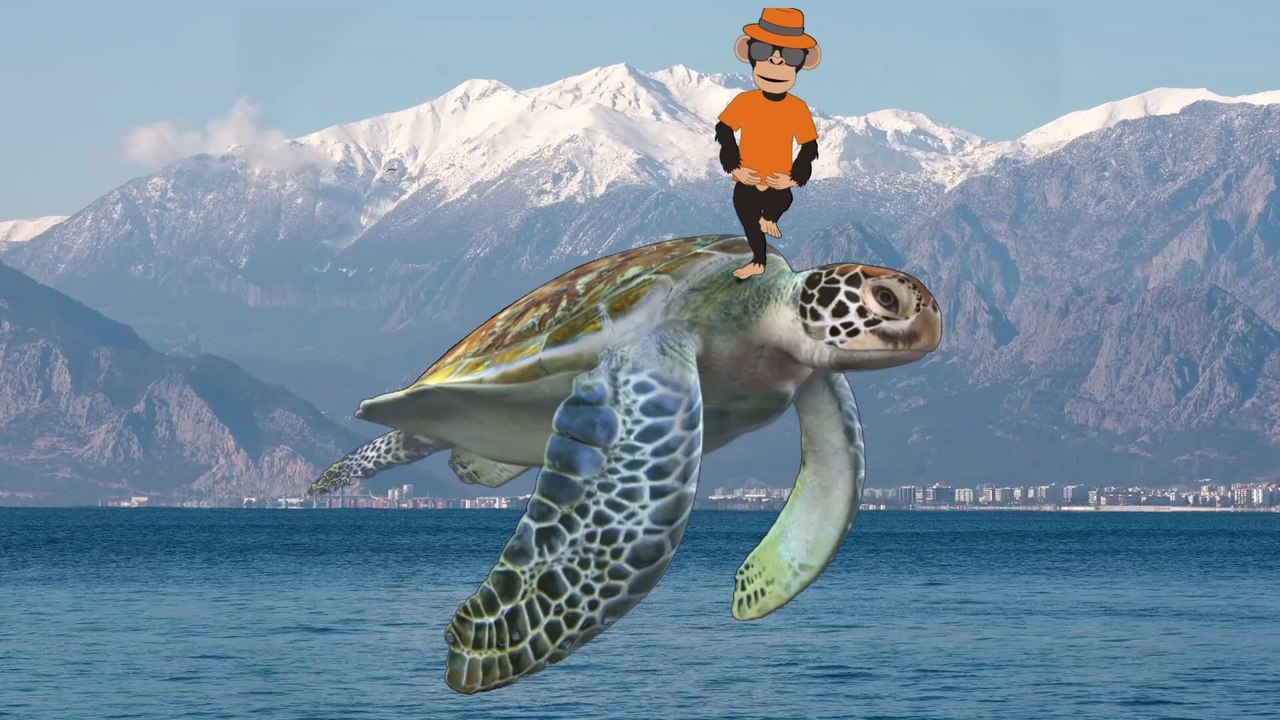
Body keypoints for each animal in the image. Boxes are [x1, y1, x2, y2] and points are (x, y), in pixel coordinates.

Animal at [715, 8, 822, 280]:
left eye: (792, 55)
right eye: (761, 50)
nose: (776, 61)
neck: (772, 97)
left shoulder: (803, 113)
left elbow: (808, 145)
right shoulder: (738, 103)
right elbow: (725, 128)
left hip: (776, 193)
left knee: (780, 202)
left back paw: (769, 223)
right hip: (744, 197)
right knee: (751, 224)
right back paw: (756, 262)